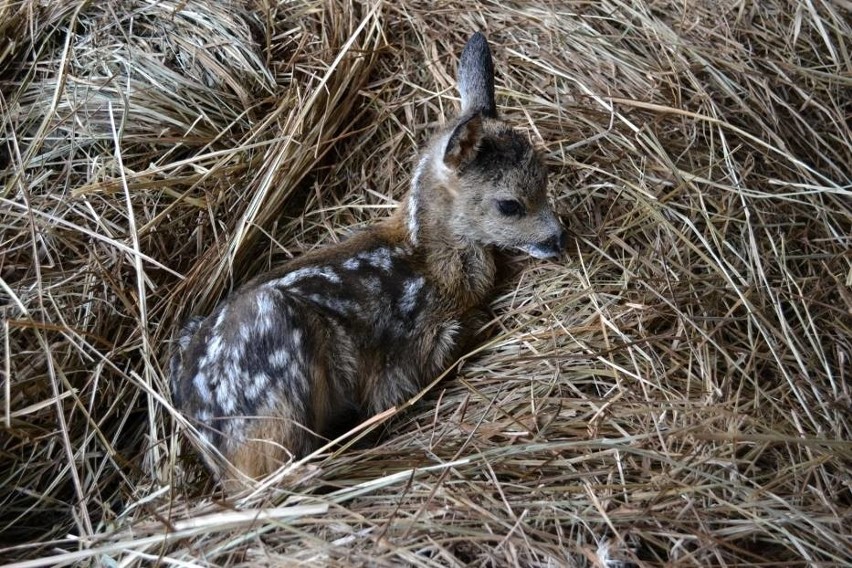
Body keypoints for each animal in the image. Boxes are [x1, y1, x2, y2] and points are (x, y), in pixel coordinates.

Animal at [170, 31, 564, 484]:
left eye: (546, 177)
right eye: (509, 205)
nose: (559, 238)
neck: (430, 262)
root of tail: (213, 447)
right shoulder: (412, 354)